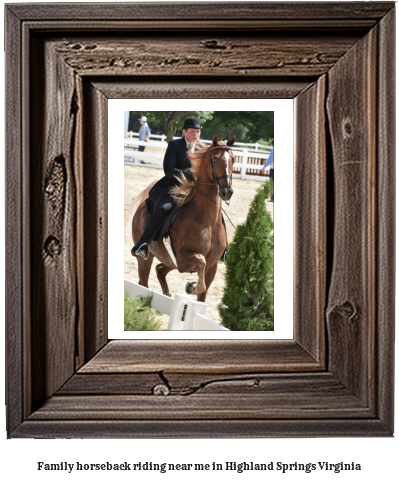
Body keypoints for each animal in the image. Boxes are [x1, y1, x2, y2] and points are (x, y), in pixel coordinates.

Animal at [126, 133, 236, 302]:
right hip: (147, 259)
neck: (207, 221)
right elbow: (200, 261)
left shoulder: (212, 267)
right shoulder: (183, 259)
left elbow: (203, 294)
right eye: (215, 159)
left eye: (233, 159)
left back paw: (167, 294)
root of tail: (143, 205)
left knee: (159, 269)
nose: (227, 192)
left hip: (170, 261)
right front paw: (191, 286)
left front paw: (192, 287)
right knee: (143, 282)